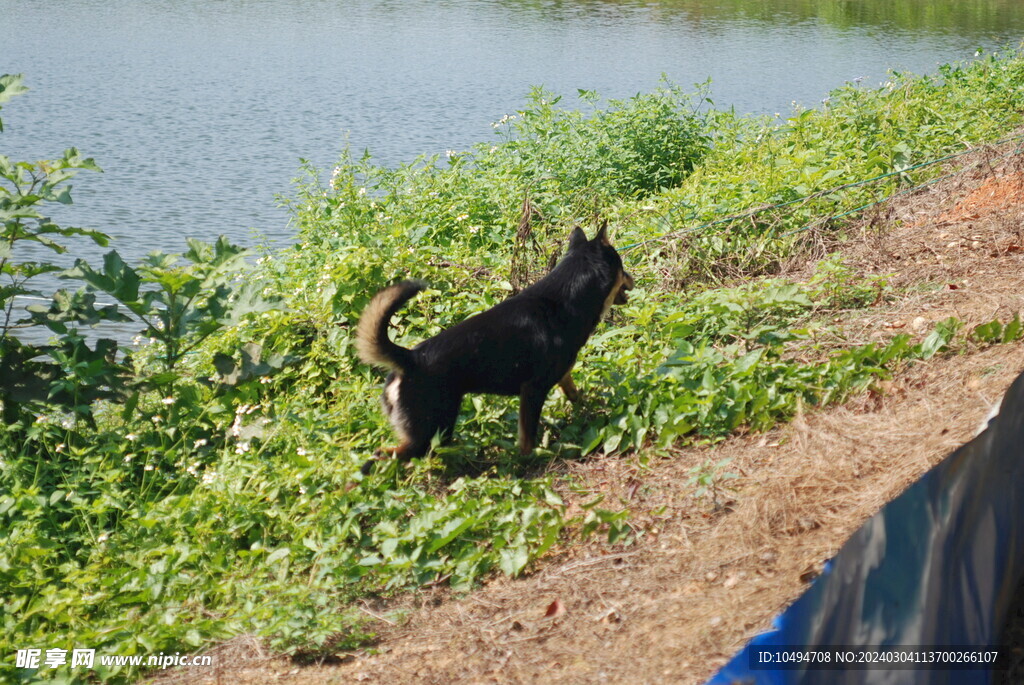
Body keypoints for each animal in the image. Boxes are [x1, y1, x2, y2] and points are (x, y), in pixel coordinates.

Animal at [358, 223, 630, 458]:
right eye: (622, 266)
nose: (632, 278)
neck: (564, 301)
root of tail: (409, 357)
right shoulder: (533, 390)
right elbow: (527, 440)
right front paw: (532, 459)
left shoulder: (561, 376)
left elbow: (576, 395)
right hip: (430, 430)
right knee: (385, 455)